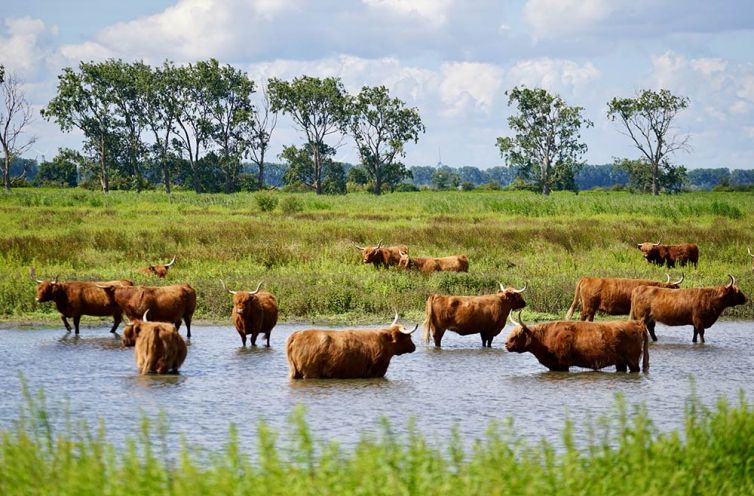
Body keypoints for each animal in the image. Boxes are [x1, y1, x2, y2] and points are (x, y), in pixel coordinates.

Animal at [284, 314, 418, 380]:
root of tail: (297, 334)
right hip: (311, 372)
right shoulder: (376, 371)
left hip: (294, 371)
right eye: (408, 337)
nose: (414, 347)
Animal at [502, 314, 648, 372]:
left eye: (517, 335)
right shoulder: (553, 365)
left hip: (633, 360)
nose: (506, 344)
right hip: (620, 361)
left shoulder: (562, 364)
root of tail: (637, 324)